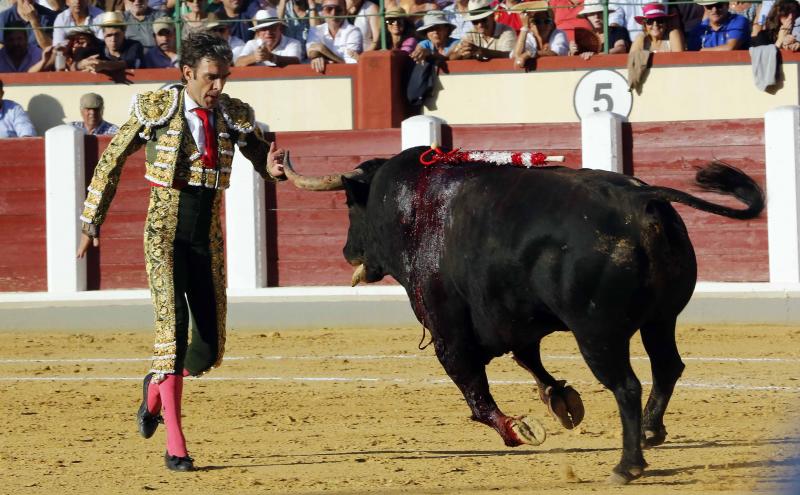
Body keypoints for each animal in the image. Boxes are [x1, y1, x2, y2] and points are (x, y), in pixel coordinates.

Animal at [284, 146, 764, 484]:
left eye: (351, 206)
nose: (347, 251)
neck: (412, 209)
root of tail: (642, 197)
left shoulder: (447, 331)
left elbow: (473, 388)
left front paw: (518, 428)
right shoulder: (513, 316)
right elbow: (529, 359)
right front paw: (561, 401)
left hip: (597, 333)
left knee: (627, 386)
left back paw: (627, 465)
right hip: (661, 319)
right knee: (667, 367)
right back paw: (649, 431)